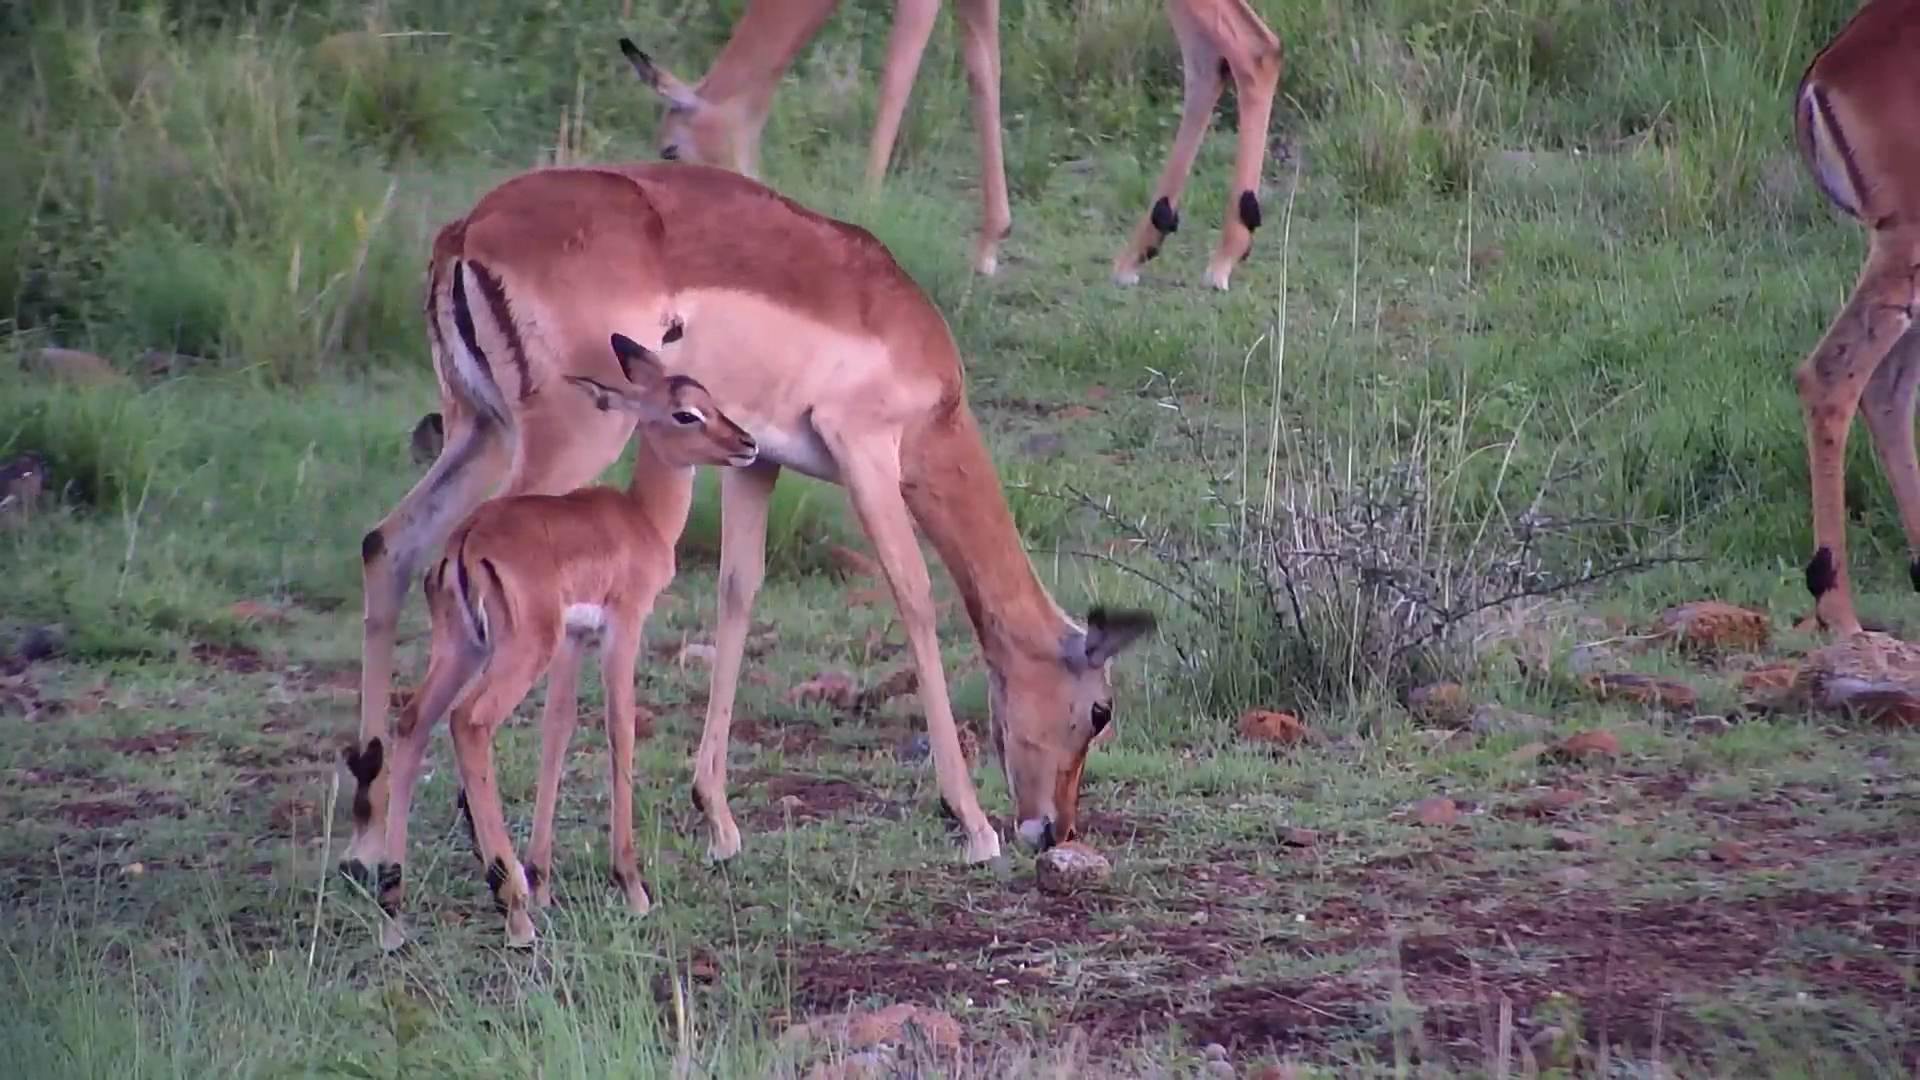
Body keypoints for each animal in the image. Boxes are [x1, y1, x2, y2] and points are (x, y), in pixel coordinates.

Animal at [375, 331, 759, 949]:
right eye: (686, 412)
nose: (747, 444)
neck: (641, 519)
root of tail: (465, 542)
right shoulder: (622, 627)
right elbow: (619, 727)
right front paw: (631, 886)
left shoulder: (576, 637)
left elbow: (557, 729)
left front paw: (544, 878)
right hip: (518, 652)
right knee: (469, 723)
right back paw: (514, 912)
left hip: (465, 648)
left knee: (413, 723)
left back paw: (394, 910)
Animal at [616, 0, 1282, 291]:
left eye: (670, 150)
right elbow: (984, 73)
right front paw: (989, 242)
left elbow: (896, 77)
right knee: (1210, 63)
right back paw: (1138, 251)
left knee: (1253, 50)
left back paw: (1225, 255)